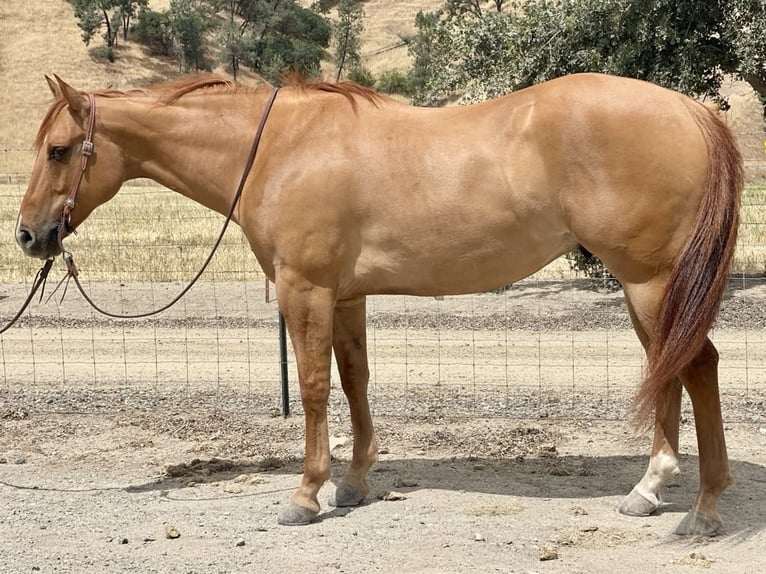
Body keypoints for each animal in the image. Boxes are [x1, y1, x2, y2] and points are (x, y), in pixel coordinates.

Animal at [16, 72, 742, 535]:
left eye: (58, 150)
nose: (28, 235)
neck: (279, 148)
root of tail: (692, 112)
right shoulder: (346, 296)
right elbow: (355, 381)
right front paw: (355, 481)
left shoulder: (304, 289)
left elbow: (314, 387)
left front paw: (306, 494)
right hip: (646, 289)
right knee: (669, 370)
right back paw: (650, 489)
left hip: (650, 282)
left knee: (697, 367)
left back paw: (702, 508)